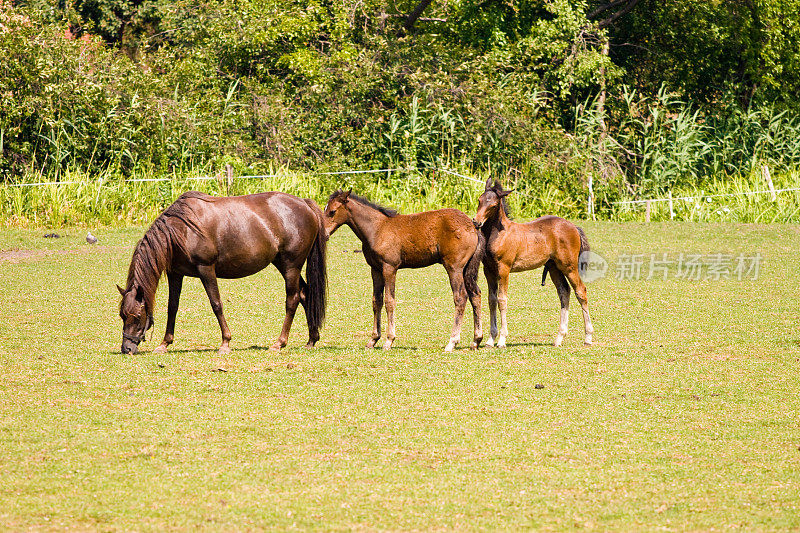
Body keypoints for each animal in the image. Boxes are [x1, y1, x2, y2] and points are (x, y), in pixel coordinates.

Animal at [116, 189, 328, 356]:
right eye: (122, 315)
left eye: (137, 316)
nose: (126, 348)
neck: (181, 229)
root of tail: (305, 204)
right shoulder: (175, 274)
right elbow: (172, 307)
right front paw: (164, 344)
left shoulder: (206, 269)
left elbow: (216, 304)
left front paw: (225, 343)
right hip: (284, 266)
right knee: (305, 294)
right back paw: (312, 339)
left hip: (291, 266)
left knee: (292, 300)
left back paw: (279, 343)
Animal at [322, 189, 484, 352]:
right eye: (325, 209)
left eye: (332, 211)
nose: (324, 234)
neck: (377, 228)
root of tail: (473, 226)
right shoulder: (375, 269)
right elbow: (377, 301)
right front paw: (373, 340)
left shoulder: (389, 268)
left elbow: (389, 301)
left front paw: (389, 340)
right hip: (467, 268)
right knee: (475, 294)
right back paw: (476, 340)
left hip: (454, 268)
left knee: (460, 297)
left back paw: (452, 342)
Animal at [476, 178, 592, 344]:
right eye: (479, 200)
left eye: (492, 205)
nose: (476, 222)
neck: (499, 234)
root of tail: (574, 227)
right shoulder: (488, 270)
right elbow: (491, 300)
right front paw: (491, 339)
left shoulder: (504, 269)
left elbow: (502, 300)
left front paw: (502, 339)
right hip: (554, 267)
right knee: (564, 292)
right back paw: (559, 337)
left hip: (569, 266)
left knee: (580, 291)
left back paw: (588, 336)